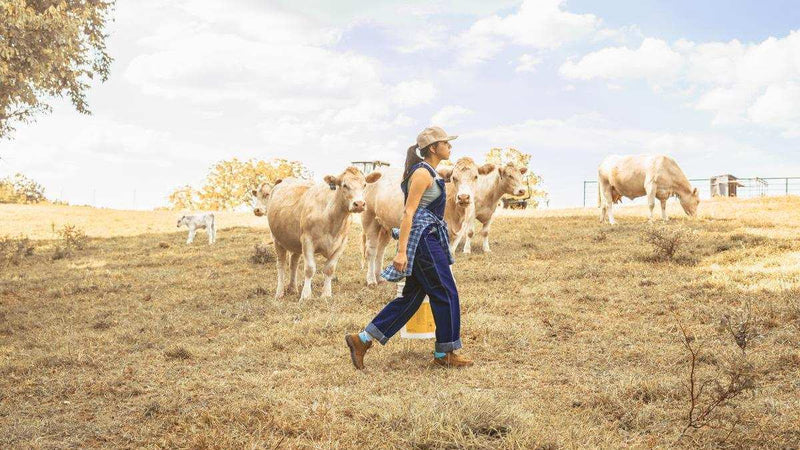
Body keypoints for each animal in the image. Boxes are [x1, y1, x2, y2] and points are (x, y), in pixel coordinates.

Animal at [268, 167, 382, 300]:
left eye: (364, 185)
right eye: (344, 185)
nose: (359, 204)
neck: (331, 217)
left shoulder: (341, 244)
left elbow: (329, 269)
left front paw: (326, 294)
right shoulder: (307, 240)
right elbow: (309, 269)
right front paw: (306, 296)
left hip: (294, 242)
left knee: (293, 263)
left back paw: (292, 288)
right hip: (277, 240)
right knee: (281, 265)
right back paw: (279, 292)